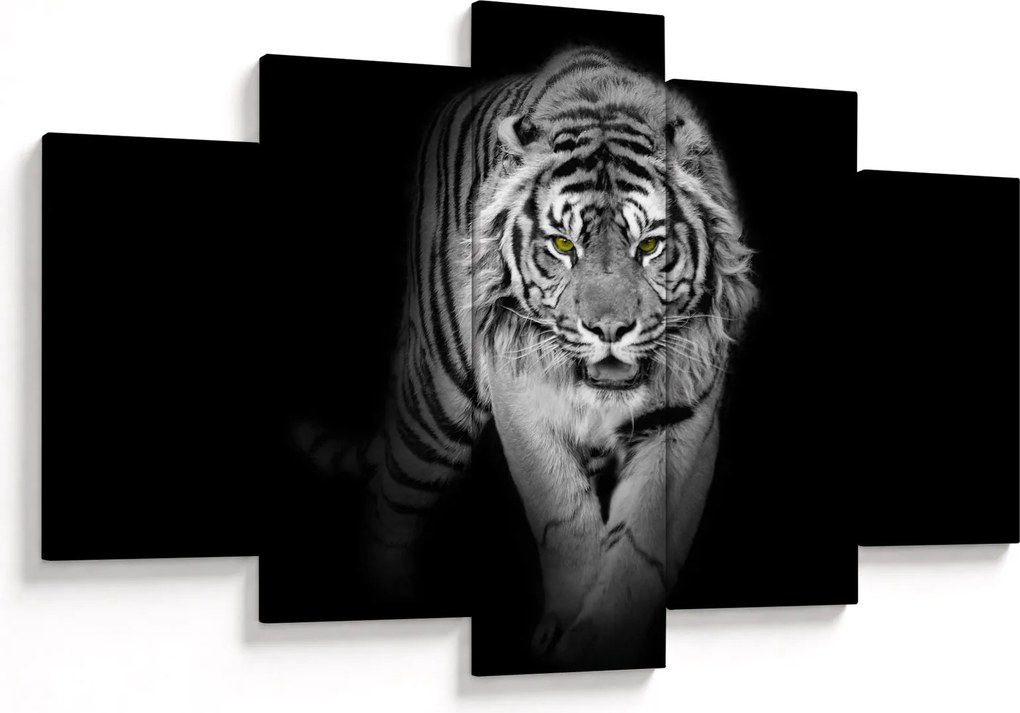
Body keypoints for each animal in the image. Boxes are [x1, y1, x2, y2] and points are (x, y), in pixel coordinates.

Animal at [298, 47, 757, 669]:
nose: (608, 328)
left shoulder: (686, 419)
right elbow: (564, 518)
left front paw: (599, 641)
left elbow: (641, 544)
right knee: (388, 502)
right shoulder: (522, 402)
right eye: (563, 245)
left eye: (649, 246)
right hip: (438, 404)